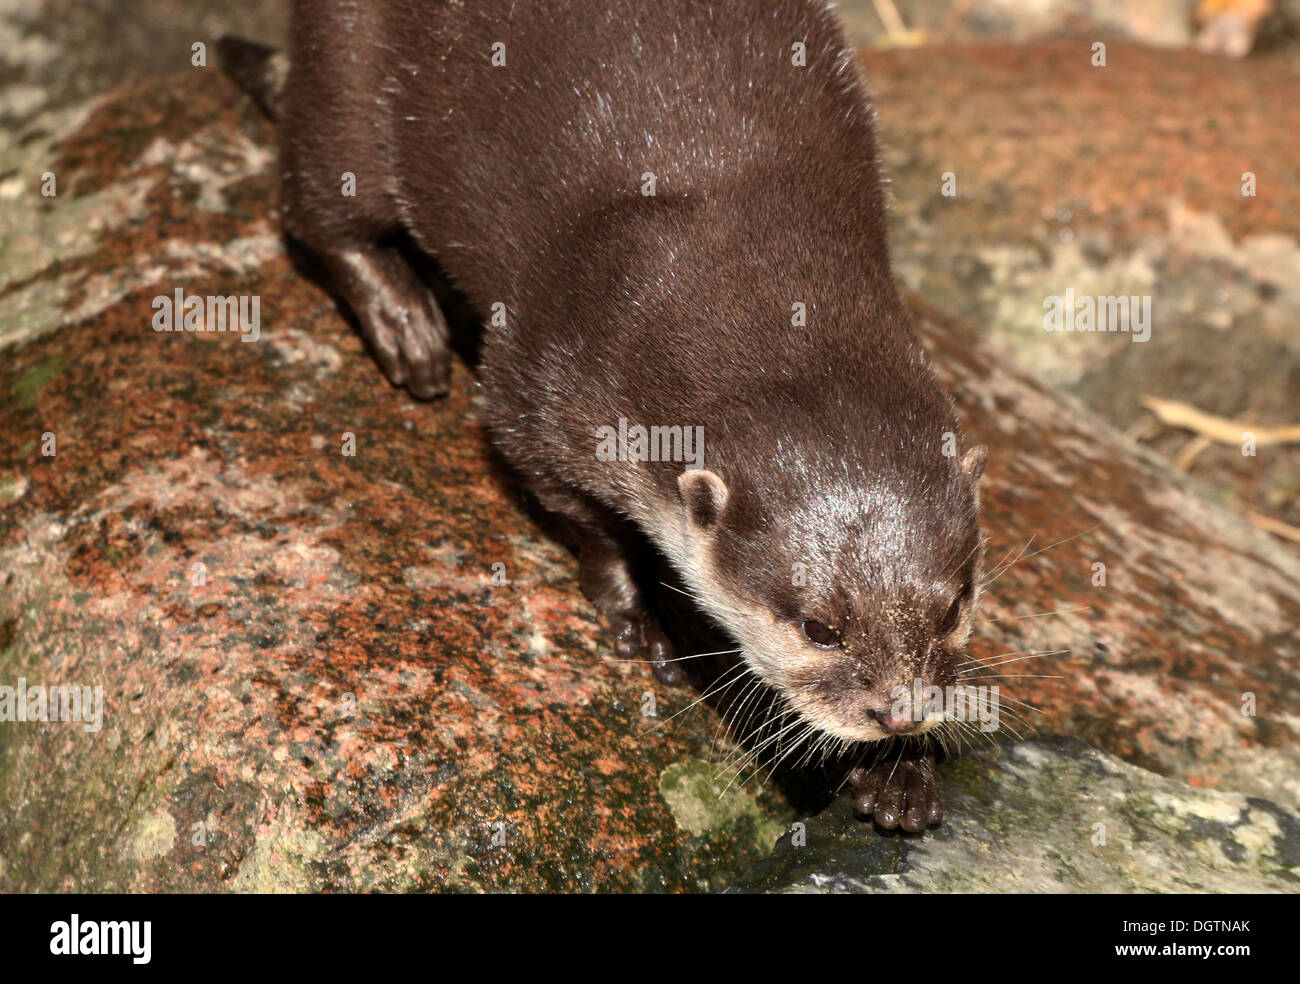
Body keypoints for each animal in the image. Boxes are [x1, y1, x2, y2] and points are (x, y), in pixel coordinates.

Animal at [220, 0, 982, 831]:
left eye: (955, 607)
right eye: (819, 628)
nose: (899, 713)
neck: (757, 280)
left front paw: (902, 768)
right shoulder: (538, 387)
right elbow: (578, 511)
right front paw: (643, 614)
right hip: (348, 68)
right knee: (318, 203)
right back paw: (407, 328)